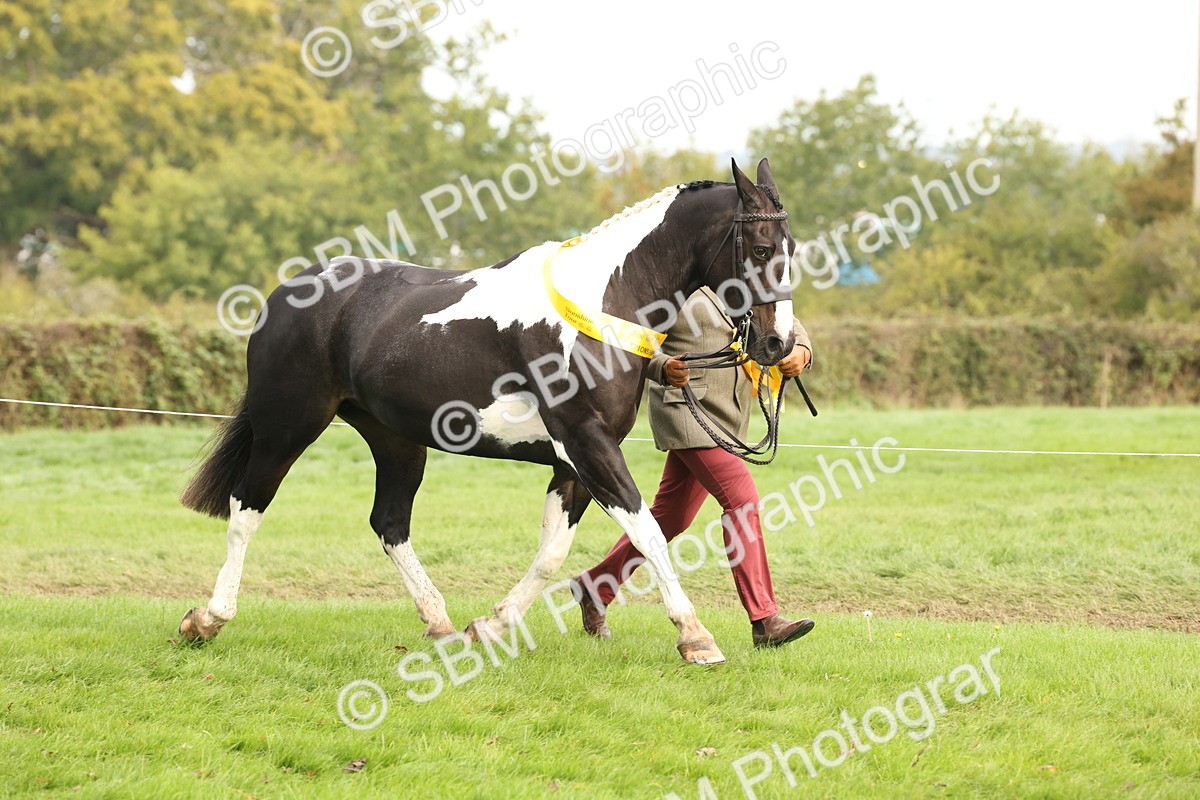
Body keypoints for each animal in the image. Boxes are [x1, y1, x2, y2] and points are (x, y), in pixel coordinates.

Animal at [178, 158, 797, 665]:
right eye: (761, 249)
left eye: (791, 250)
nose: (779, 345)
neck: (602, 301)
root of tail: (288, 293)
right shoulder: (588, 443)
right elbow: (646, 531)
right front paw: (696, 637)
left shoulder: (572, 461)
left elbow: (552, 551)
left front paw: (492, 625)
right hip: (287, 427)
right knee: (246, 510)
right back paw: (207, 619)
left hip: (397, 441)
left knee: (389, 524)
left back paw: (441, 625)